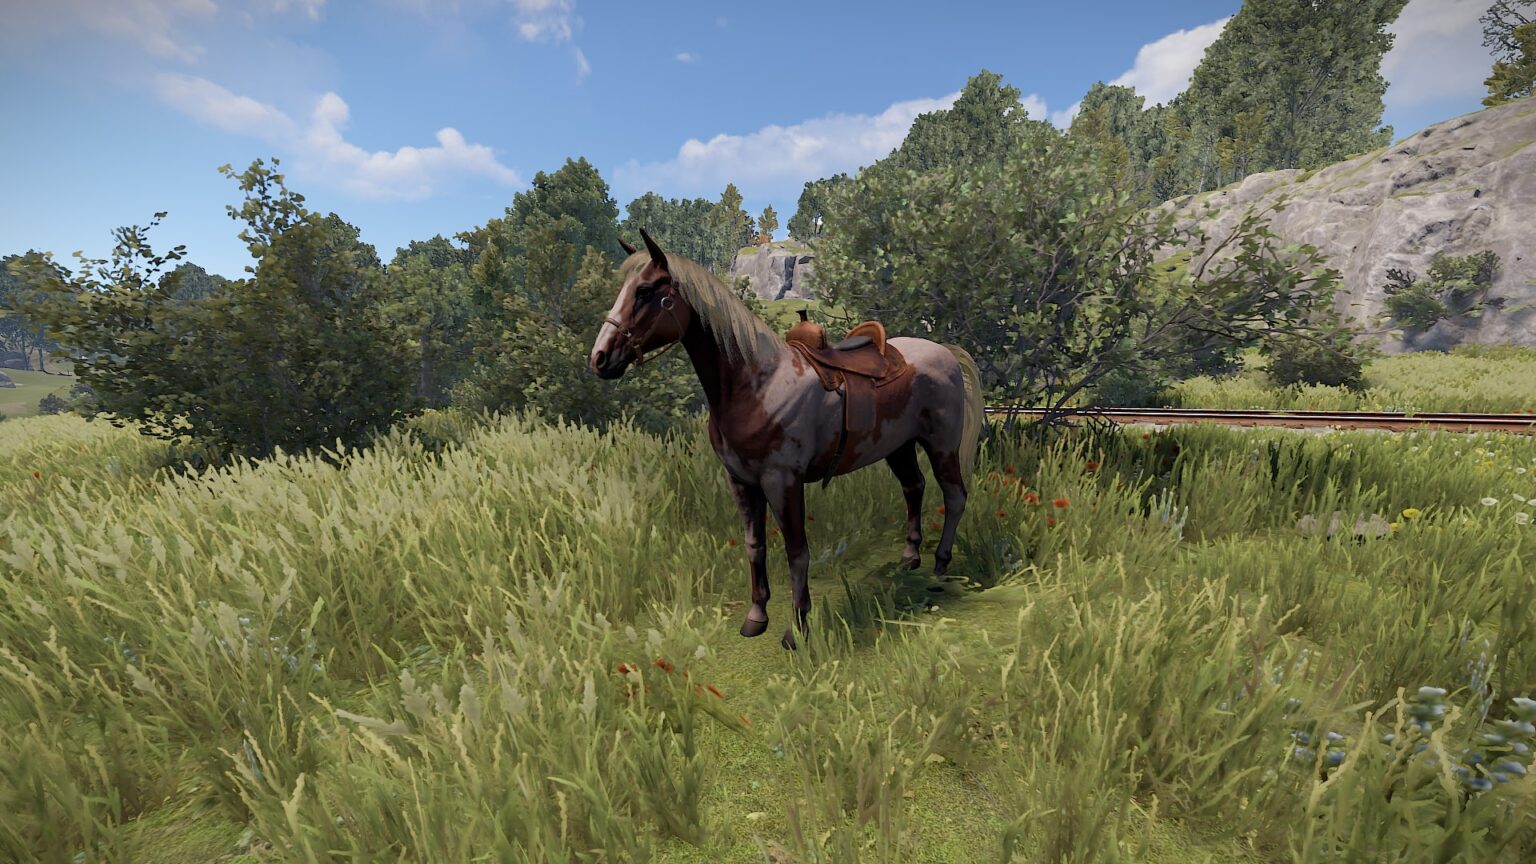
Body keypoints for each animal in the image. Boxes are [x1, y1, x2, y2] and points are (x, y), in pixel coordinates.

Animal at [589, 229, 984, 649]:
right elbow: (755, 546)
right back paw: (910, 558)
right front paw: (755, 617)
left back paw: (940, 567)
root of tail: (945, 351)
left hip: (941, 445)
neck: (756, 385)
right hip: (898, 447)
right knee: (914, 487)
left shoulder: (783, 481)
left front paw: (797, 628)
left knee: (954, 496)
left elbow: (796, 550)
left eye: (645, 291)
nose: (600, 358)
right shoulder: (741, 481)